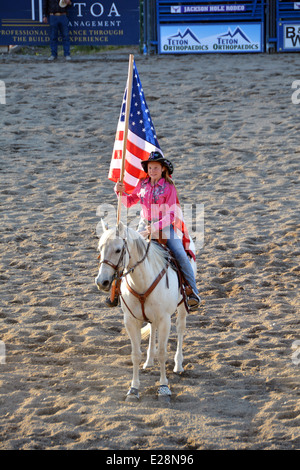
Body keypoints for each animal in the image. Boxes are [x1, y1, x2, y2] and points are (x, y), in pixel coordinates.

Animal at [95, 222, 196, 398]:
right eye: (100, 248)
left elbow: (162, 353)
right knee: (152, 328)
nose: (102, 282)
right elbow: (135, 355)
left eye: (118, 249)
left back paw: (178, 365)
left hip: (182, 307)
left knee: (180, 329)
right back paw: (149, 361)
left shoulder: (165, 320)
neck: (142, 282)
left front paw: (163, 387)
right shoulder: (130, 321)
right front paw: (133, 388)